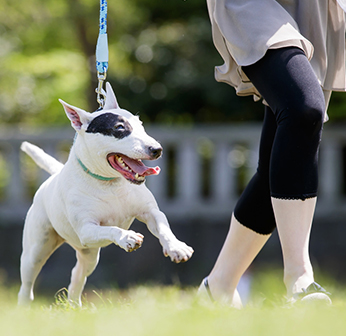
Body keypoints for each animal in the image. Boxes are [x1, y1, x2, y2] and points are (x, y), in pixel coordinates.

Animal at [17, 82, 193, 306]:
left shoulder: (150, 212)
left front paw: (176, 247)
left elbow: (163, 226)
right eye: (119, 128)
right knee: (27, 282)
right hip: (37, 248)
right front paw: (127, 237)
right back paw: (25, 305)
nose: (157, 149)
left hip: (89, 254)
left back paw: (75, 306)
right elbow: (111, 229)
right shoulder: (86, 229)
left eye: (141, 124)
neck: (109, 183)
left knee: (77, 275)